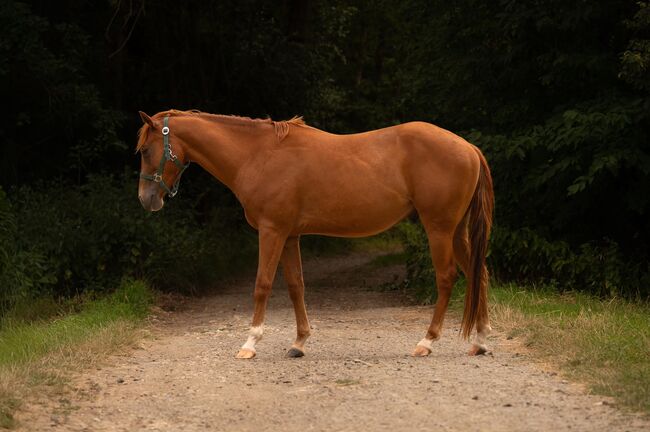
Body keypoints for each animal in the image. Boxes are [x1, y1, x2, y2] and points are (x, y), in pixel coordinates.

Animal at [136, 110, 494, 359]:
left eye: (145, 150)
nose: (146, 199)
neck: (258, 154)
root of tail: (469, 148)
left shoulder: (272, 231)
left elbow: (262, 285)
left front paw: (250, 343)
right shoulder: (290, 236)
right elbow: (297, 287)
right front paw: (299, 342)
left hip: (439, 229)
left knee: (447, 277)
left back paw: (427, 342)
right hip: (457, 232)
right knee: (479, 273)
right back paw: (480, 341)